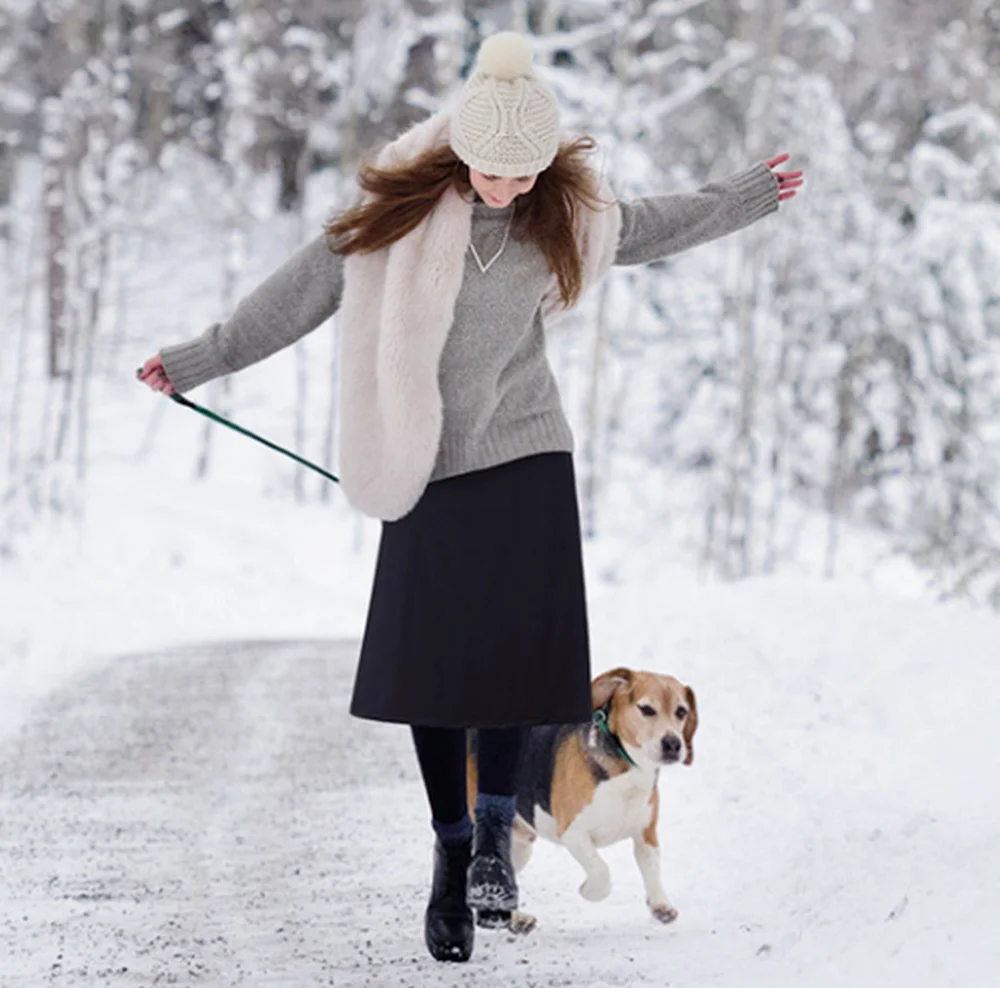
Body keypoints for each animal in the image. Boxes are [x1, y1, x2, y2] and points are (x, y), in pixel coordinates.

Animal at [466, 664, 696, 932]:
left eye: (681, 711)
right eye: (647, 709)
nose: (673, 744)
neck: (626, 768)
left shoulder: (646, 833)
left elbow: (651, 867)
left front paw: (660, 905)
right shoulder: (573, 833)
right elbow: (601, 872)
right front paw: (589, 891)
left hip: (519, 844)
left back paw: (515, 918)